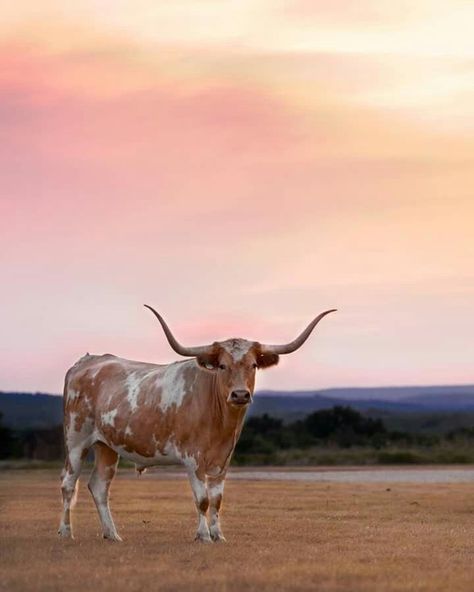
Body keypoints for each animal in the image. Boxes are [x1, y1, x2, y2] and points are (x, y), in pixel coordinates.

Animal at [59, 308, 336, 544]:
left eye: (254, 365)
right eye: (222, 365)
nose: (240, 395)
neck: (220, 422)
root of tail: (86, 362)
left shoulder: (223, 460)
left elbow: (217, 500)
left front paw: (218, 535)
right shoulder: (192, 459)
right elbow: (202, 500)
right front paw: (203, 536)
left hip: (107, 446)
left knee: (99, 487)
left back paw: (112, 534)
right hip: (76, 441)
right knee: (68, 484)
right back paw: (66, 532)